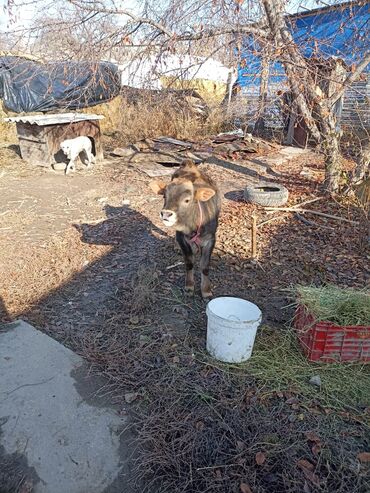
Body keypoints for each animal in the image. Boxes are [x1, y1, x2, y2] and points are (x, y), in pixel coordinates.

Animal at [150, 160, 220, 298]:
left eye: (187, 200)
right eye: (164, 197)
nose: (166, 214)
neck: (193, 227)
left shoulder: (211, 239)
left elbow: (205, 266)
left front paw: (206, 290)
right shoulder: (182, 238)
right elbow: (189, 263)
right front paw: (189, 286)